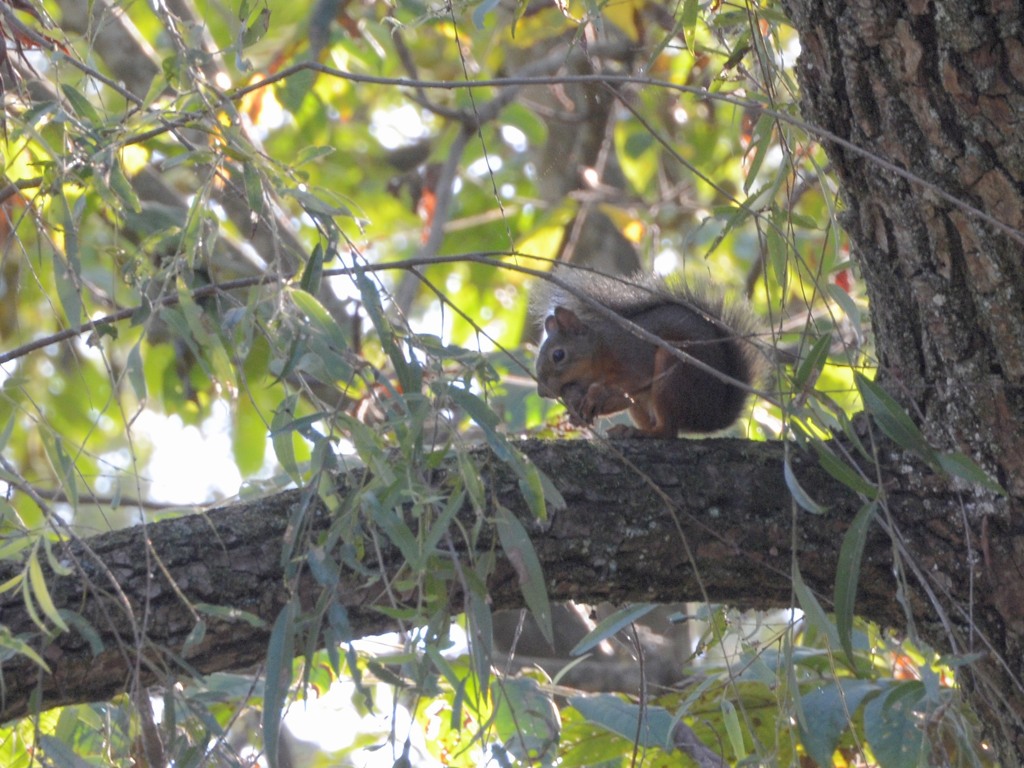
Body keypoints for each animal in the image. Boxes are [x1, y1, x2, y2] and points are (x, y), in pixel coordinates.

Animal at [536, 270, 761, 438]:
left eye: (558, 355)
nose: (542, 392)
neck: (601, 350)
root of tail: (713, 417)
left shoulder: (633, 355)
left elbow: (632, 381)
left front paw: (595, 394)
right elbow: (623, 399)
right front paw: (578, 413)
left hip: (674, 373)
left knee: (668, 432)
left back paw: (642, 433)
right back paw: (627, 430)